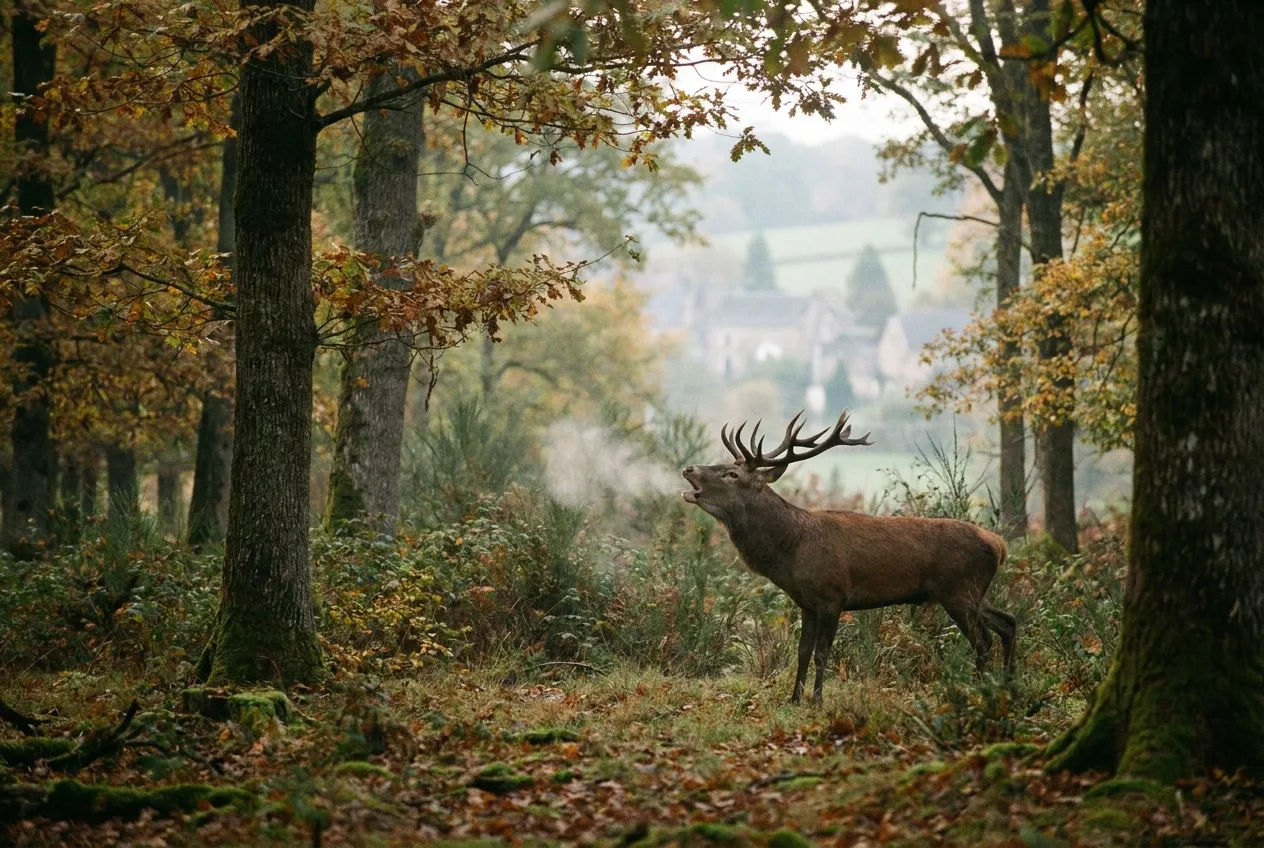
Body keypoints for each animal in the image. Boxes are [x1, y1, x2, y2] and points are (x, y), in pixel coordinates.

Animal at [681, 409, 1016, 705]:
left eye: (732, 473)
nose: (689, 469)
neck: (790, 550)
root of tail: (999, 545)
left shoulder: (833, 596)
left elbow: (821, 653)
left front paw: (817, 701)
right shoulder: (807, 603)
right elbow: (802, 652)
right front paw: (793, 699)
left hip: (958, 591)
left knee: (983, 640)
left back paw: (976, 690)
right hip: (973, 593)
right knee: (1008, 622)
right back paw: (1008, 684)